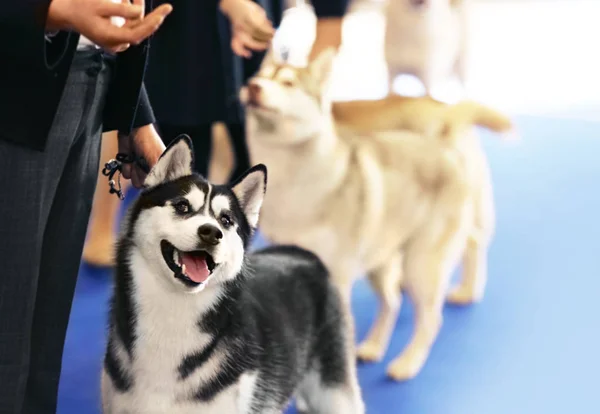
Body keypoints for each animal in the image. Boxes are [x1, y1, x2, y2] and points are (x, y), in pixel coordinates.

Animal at [101, 134, 364, 412]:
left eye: (226, 220)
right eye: (182, 206)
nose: (211, 232)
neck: (173, 308)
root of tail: (302, 253)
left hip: (334, 394)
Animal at [241, 49, 512, 382]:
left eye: (288, 83)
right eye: (259, 76)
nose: (253, 87)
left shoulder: (337, 274)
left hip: (420, 263)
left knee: (433, 314)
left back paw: (408, 362)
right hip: (382, 258)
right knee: (394, 301)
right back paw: (375, 345)